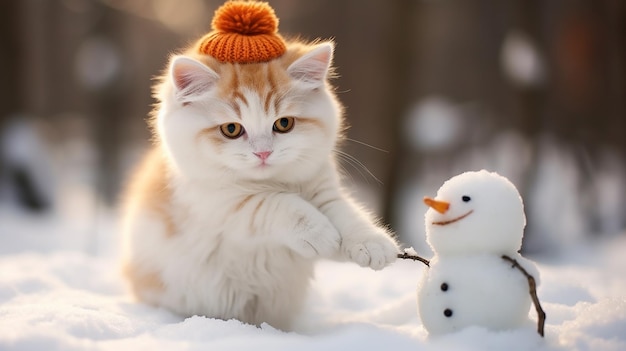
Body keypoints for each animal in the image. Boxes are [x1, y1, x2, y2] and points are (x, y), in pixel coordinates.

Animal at [119, 40, 398, 332]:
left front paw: (372, 242)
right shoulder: (219, 204)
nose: (263, 153)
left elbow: (346, 214)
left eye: (283, 124)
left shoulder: (324, 191)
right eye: (231, 129)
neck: (271, 181)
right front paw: (320, 232)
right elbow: (276, 202)